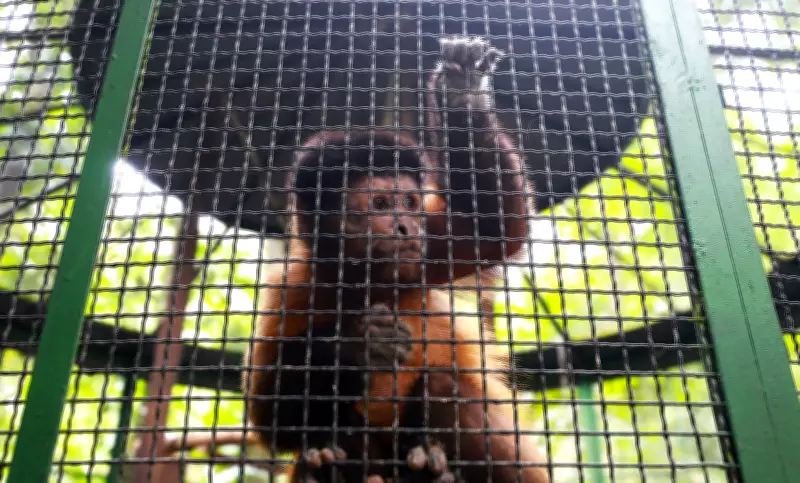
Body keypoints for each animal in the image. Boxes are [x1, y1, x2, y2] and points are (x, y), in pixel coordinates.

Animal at [243, 37, 549, 483]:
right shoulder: (292, 289)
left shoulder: (427, 247)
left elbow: (495, 229)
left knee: (444, 385)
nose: (405, 227)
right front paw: (355, 347)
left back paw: (432, 470)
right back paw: (328, 464)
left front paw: (461, 92)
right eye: (381, 205)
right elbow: (269, 418)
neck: (366, 280)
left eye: (408, 202)